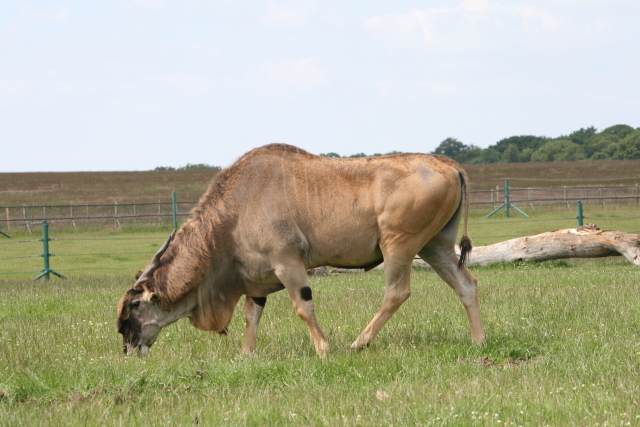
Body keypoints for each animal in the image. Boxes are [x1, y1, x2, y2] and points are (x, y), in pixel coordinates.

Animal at [117, 143, 485, 357]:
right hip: (435, 246)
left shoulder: (288, 264)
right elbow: (252, 314)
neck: (237, 208)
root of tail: (451, 165)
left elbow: (303, 307)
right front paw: (246, 354)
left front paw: (323, 350)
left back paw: (359, 342)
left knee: (397, 292)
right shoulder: (257, 277)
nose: (127, 345)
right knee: (466, 284)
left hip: (399, 245)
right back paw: (479, 340)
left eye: (135, 305)